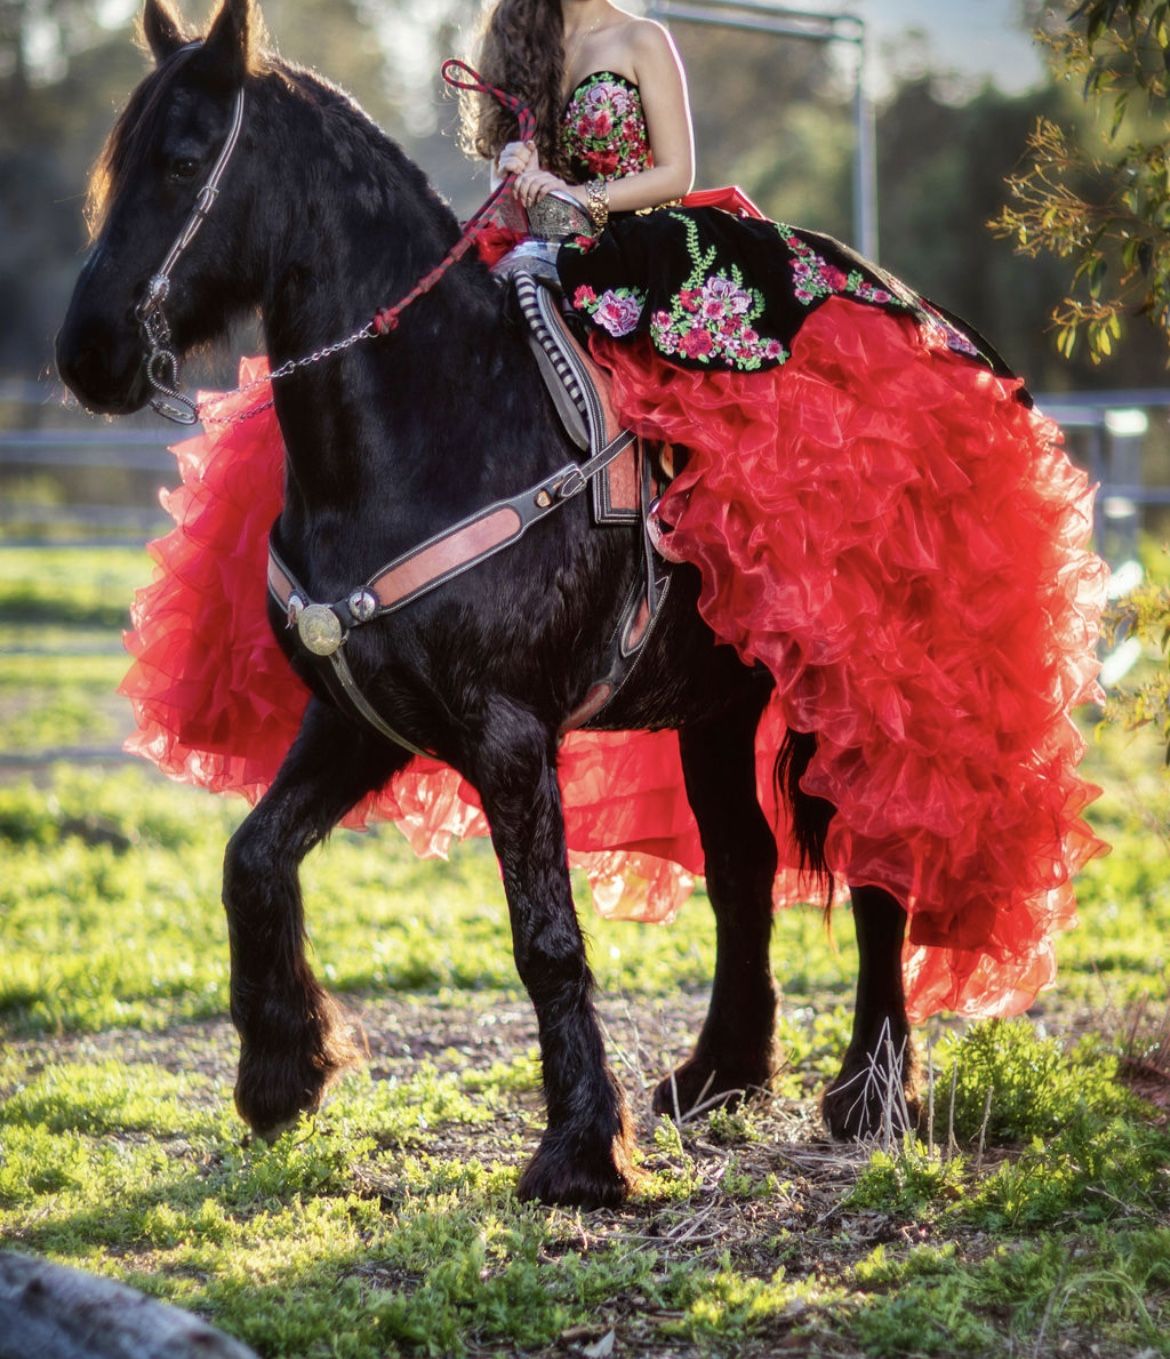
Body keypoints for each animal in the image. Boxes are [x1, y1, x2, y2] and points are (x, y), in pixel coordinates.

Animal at [57, 0, 913, 1212]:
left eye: (181, 162)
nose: (87, 355)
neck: (439, 415)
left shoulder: (509, 734)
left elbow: (545, 938)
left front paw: (579, 1155)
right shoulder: (360, 717)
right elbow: (252, 859)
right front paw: (283, 1075)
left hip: (843, 698)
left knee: (881, 868)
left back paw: (873, 1093)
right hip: (715, 709)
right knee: (743, 871)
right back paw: (717, 1077)